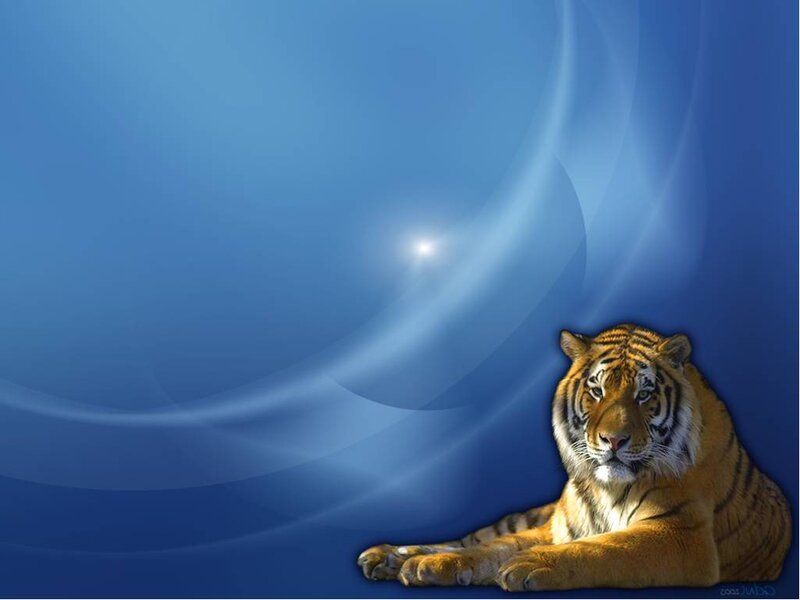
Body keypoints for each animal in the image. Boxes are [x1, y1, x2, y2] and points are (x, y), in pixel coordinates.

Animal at [357, 324, 792, 591]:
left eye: (644, 395)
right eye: (596, 391)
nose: (613, 440)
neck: (606, 489)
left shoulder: (682, 535)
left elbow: (604, 549)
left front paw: (533, 565)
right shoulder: (557, 528)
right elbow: (490, 548)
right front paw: (431, 566)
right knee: (468, 538)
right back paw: (388, 556)